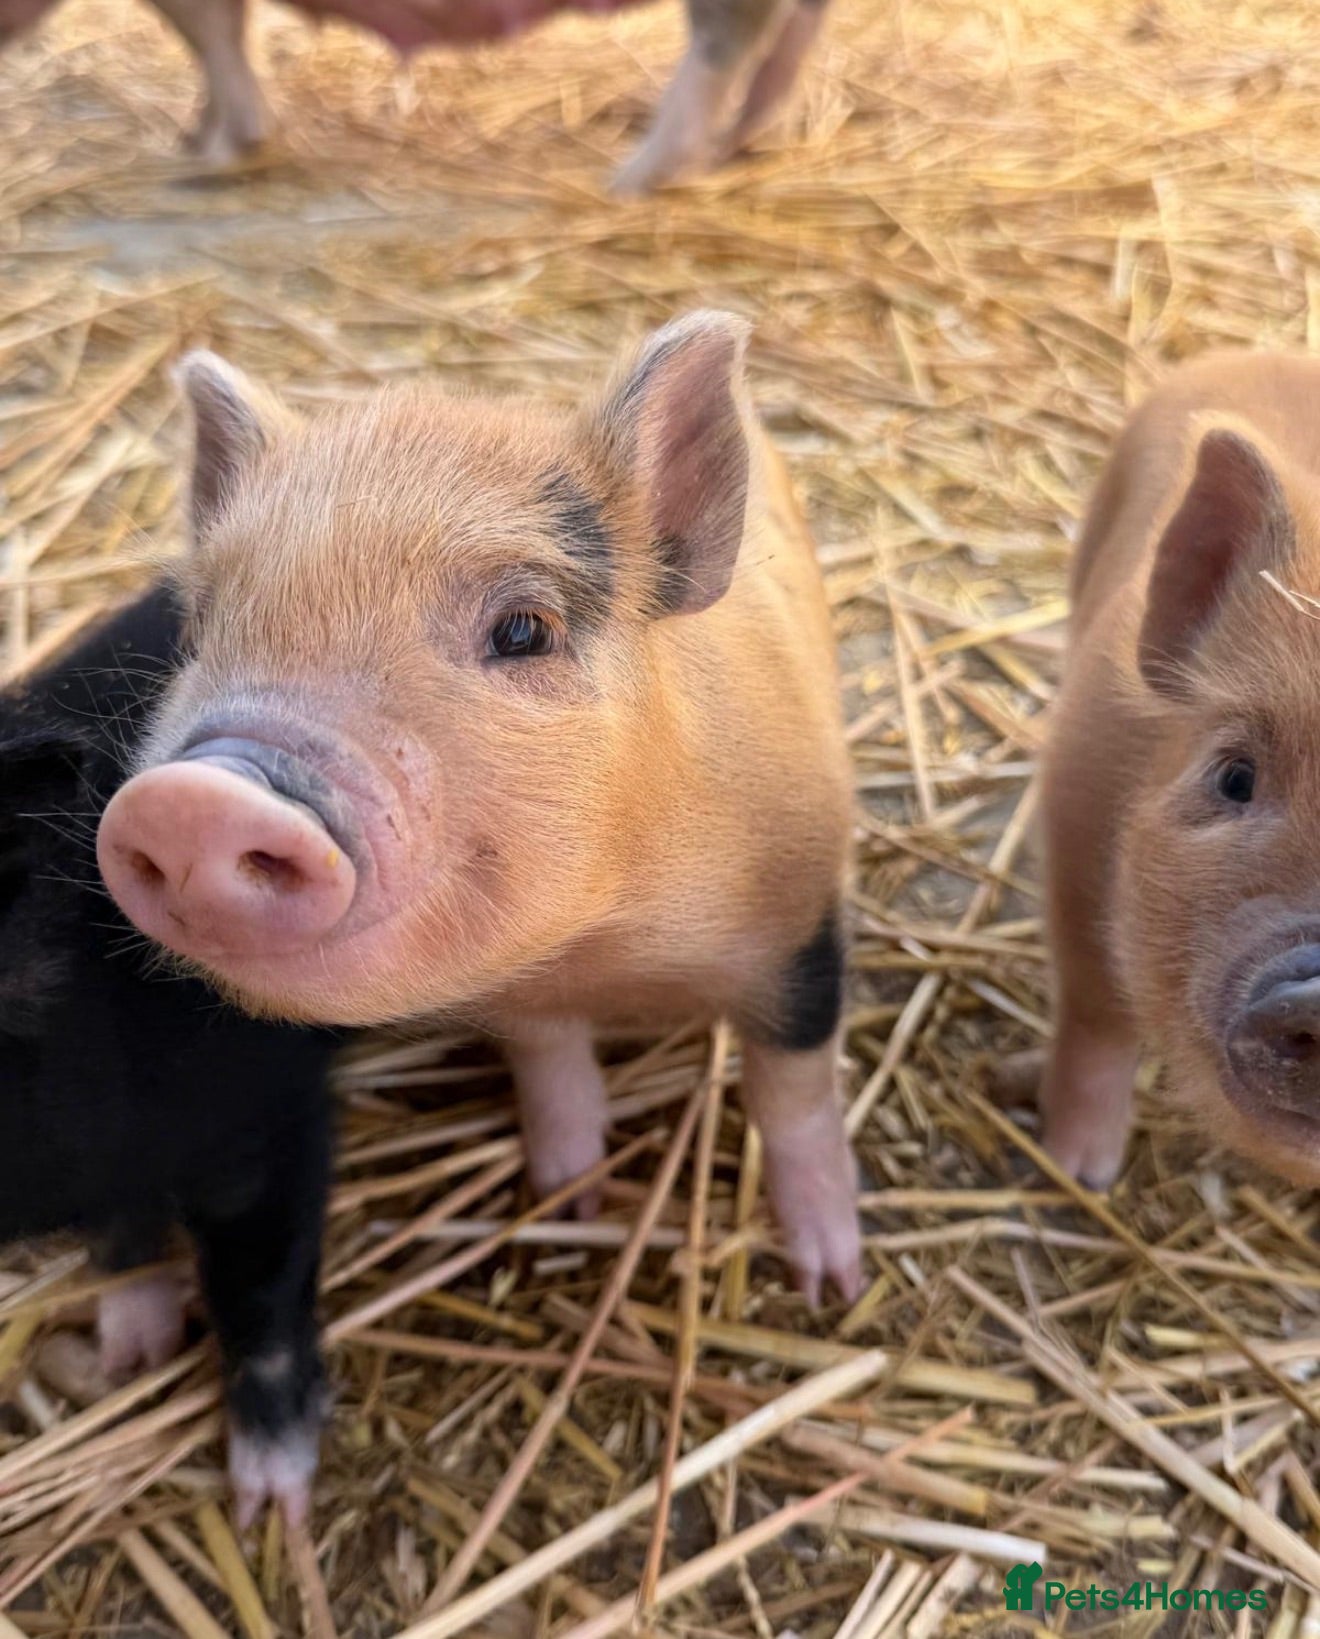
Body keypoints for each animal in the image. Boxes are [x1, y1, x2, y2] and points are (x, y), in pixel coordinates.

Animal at [94, 312, 862, 1302]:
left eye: (523, 630)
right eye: (196, 634)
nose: (196, 801)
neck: (611, 950)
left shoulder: (801, 916)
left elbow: (796, 1092)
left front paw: (832, 1281)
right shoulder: (526, 993)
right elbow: (551, 1069)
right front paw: (569, 1199)